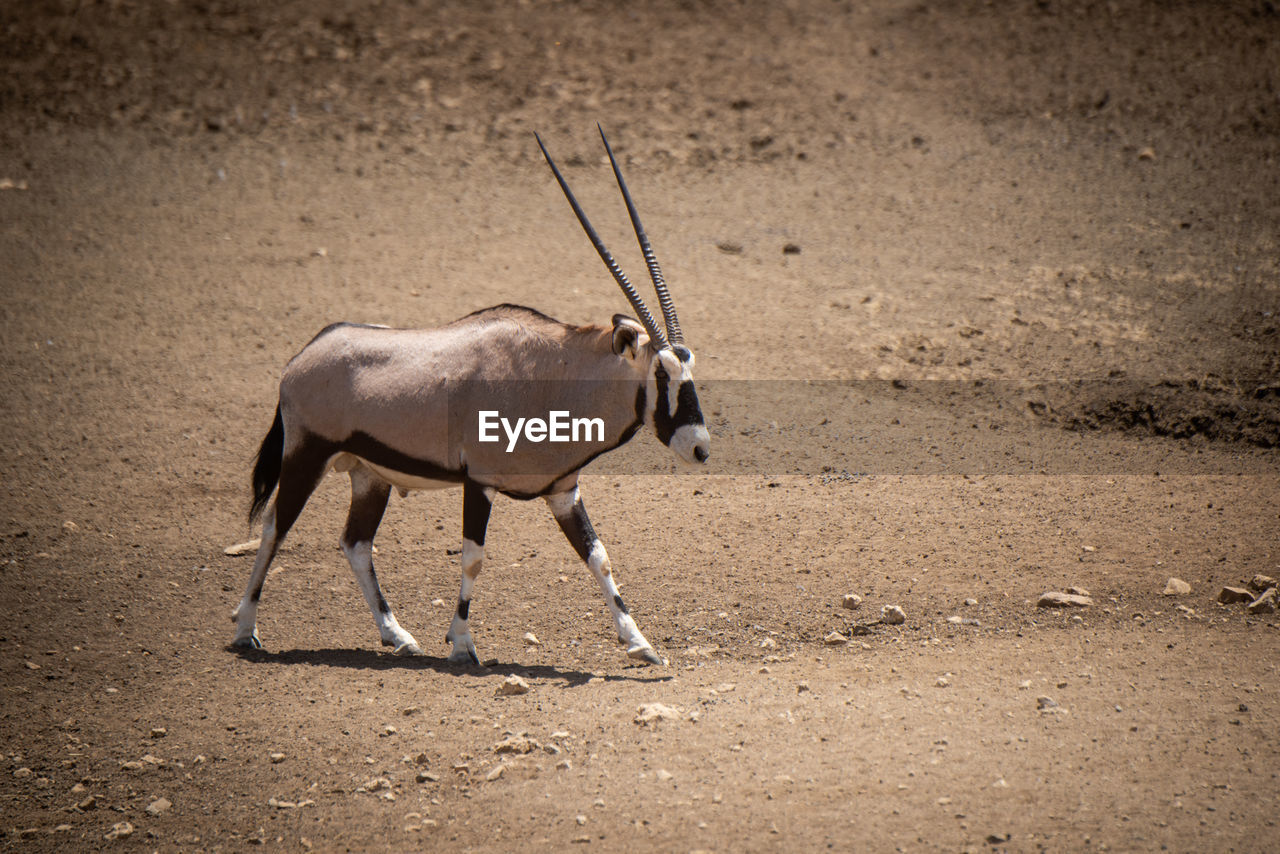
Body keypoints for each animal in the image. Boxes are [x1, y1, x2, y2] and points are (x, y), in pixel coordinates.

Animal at [230, 128, 711, 665]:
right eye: (662, 373)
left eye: (691, 367)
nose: (699, 447)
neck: (555, 372)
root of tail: (301, 358)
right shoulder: (478, 482)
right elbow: (473, 558)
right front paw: (461, 644)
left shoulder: (563, 490)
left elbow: (599, 556)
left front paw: (641, 644)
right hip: (306, 455)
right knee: (274, 528)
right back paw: (246, 629)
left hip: (369, 476)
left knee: (355, 542)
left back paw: (397, 635)